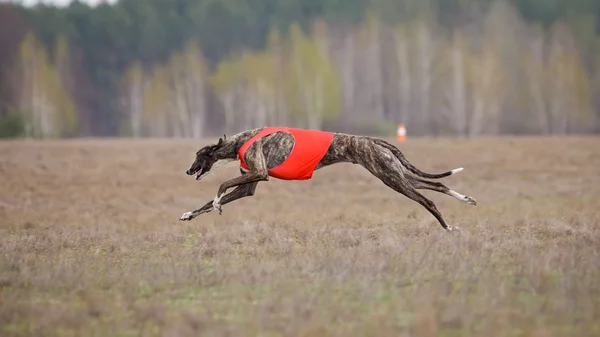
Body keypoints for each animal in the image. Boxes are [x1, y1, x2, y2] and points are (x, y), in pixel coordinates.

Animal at [178, 126, 478, 231]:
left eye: (199, 155)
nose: (188, 171)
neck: (241, 140)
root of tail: (374, 140)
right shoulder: (249, 186)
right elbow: (208, 202)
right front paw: (188, 214)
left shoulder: (259, 173)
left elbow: (221, 185)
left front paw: (217, 203)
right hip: (396, 173)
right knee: (436, 183)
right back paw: (466, 200)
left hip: (390, 177)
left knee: (427, 200)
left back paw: (447, 227)